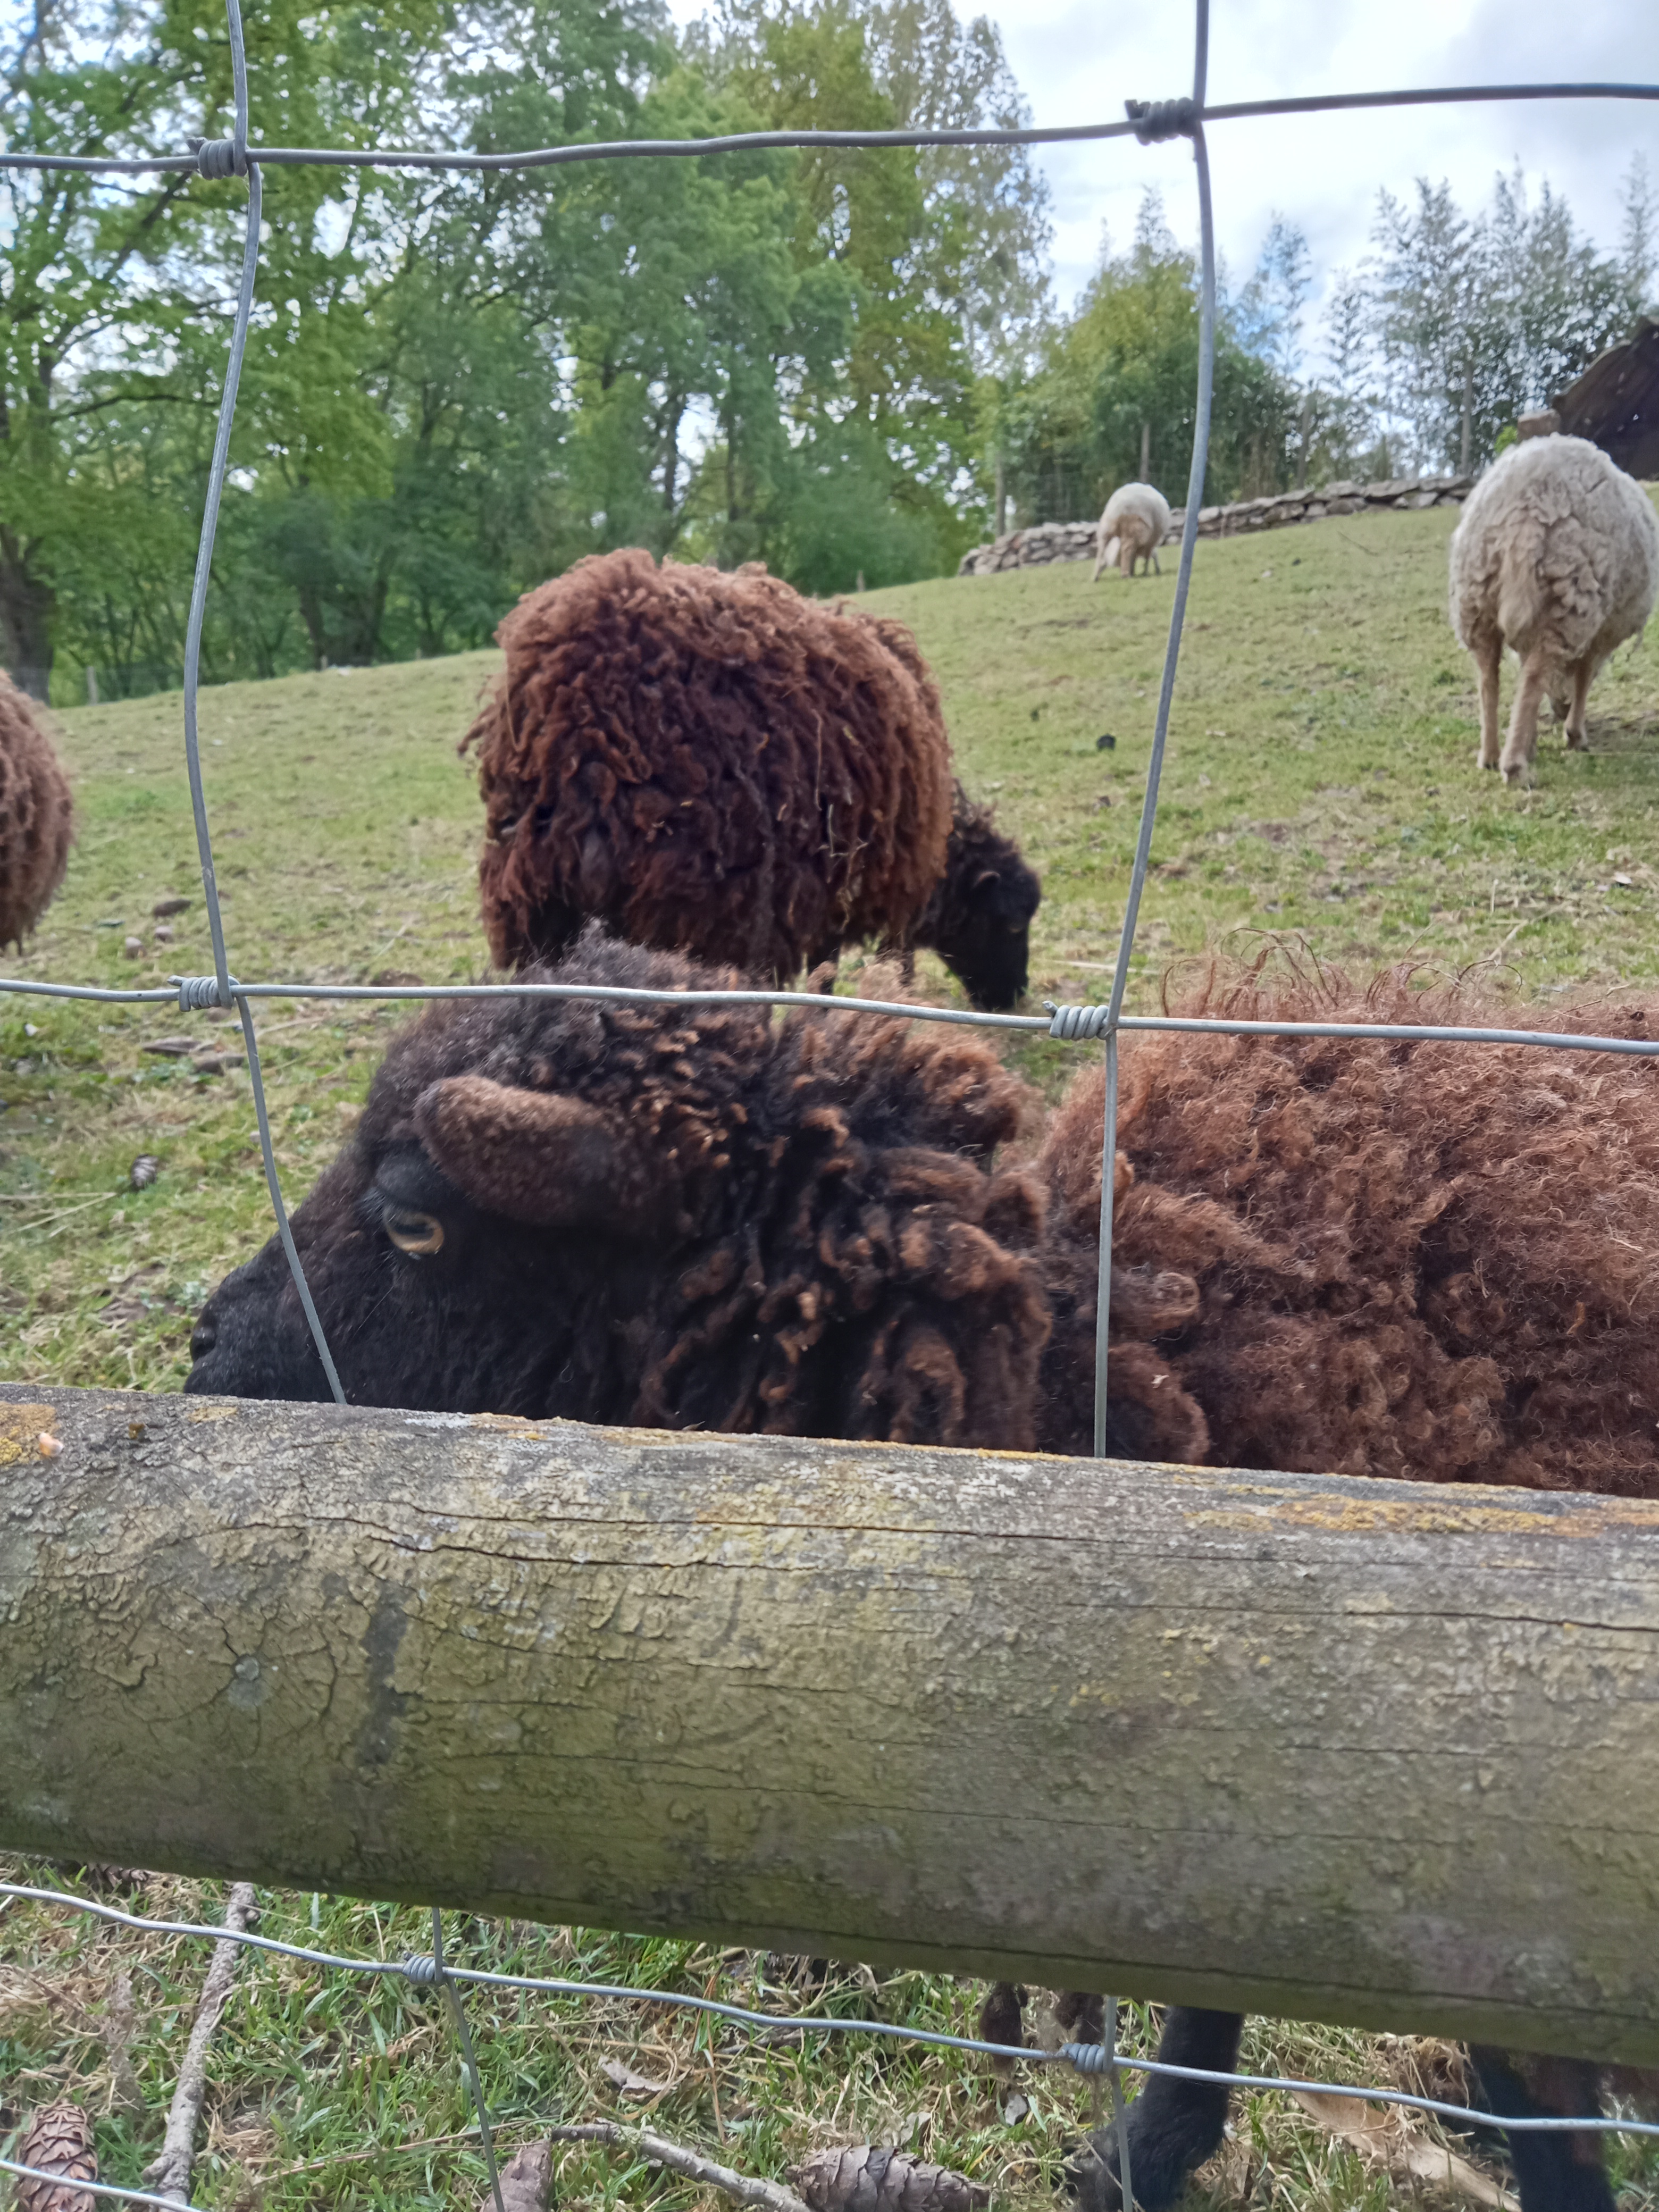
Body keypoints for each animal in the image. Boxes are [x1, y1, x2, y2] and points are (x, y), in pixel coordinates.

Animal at [1092, 483, 1172, 582]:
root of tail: (1119, 507)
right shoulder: (1150, 541)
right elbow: (1150, 555)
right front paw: (1147, 572)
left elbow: (1139, 556)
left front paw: (1134, 571)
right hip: (1133, 528)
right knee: (1127, 549)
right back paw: (1125, 574)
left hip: (1106, 528)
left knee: (1101, 550)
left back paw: (1096, 576)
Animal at [1449, 434, 1659, 781]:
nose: (1560, 711)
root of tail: (1528, 504)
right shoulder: (1601, 634)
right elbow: (1584, 677)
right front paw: (1574, 734)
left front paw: (1533, 739)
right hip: (1570, 602)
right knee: (1535, 675)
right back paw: (1514, 765)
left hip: (1476, 599)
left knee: (1489, 677)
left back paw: (1491, 755)